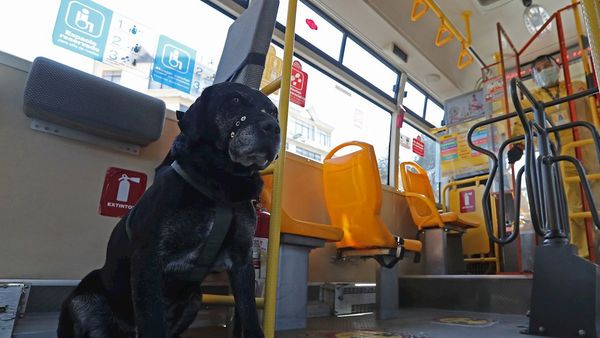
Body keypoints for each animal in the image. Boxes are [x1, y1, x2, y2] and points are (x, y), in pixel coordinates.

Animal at [56, 82, 282, 338]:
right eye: (235, 100)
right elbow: (152, 324)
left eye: (273, 112)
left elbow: (251, 316)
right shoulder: (148, 258)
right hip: (82, 297)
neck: (221, 183)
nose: (273, 127)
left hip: (194, 299)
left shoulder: (241, 260)